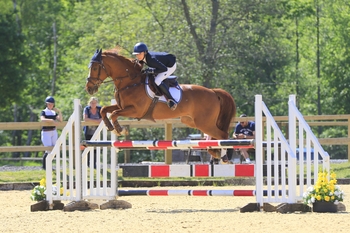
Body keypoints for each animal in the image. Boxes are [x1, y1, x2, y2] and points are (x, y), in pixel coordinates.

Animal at [85, 48, 235, 162]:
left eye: (95, 67)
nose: (89, 88)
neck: (130, 82)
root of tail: (213, 92)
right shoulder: (122, 106)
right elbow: (105, 110)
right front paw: (110, 127)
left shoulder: (136, 111)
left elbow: (115, 114)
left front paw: (120, 130)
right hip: (191, 121)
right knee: (214, 136)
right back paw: (215, 152)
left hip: (204, 122)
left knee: (222, 134)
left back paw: (223, 156)